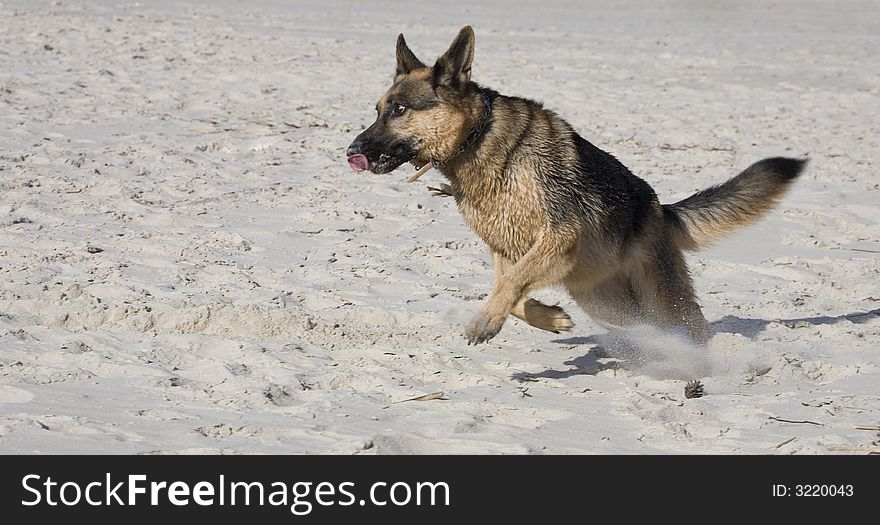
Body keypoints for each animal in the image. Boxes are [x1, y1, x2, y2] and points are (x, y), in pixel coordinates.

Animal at [344, 25, 804, 344]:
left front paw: (485, 320)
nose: (351, 150)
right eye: (378, 109)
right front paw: (547, 318)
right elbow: (511, 291)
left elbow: (510, 284)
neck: (479, 138)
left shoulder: (558, 237)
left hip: (659, 294)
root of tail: (658, 207)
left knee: (693, 323)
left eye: (399, 110)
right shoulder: (510, 251)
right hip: (606, 300)